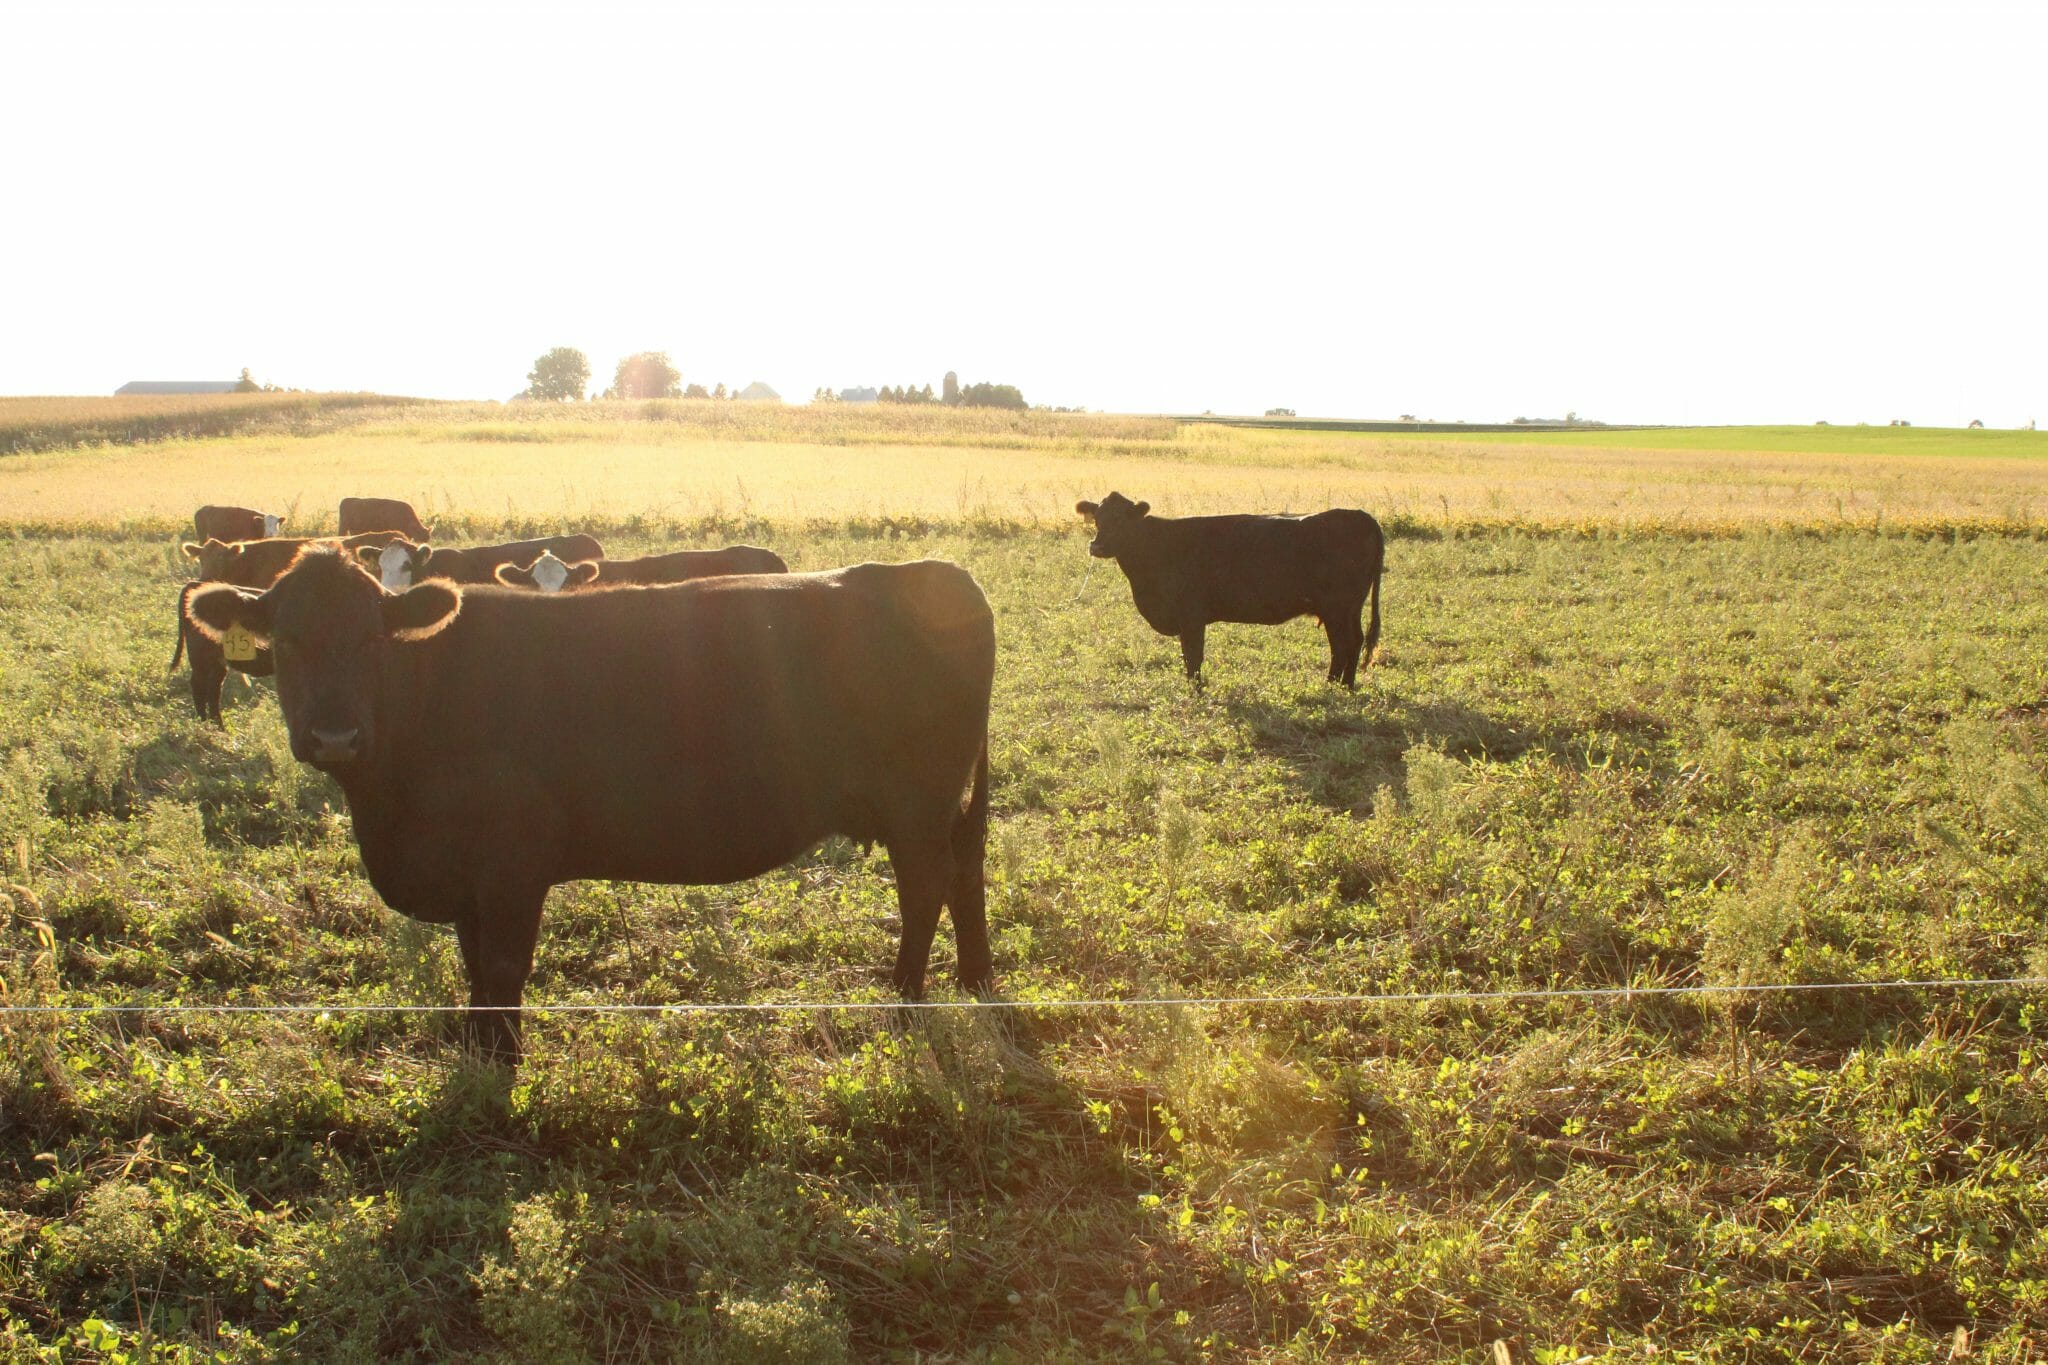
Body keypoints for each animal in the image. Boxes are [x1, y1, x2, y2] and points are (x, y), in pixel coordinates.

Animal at [182, 545, 996, 1062]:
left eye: (372, 640)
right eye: (287, 641)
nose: (335, 735)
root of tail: (938, 573)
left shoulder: (513, 863)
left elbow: (503, 965)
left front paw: (503, 1062)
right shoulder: (468, 873)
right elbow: (475, 967)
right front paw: (477, 1049)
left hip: (915, 806)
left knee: (925, 888)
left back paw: (903, 1001)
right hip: (940, 808)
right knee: (965, 874)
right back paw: (975, 981)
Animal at [1074, 491, 1384, 688]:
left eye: (1122, 519)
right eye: (1098, 517)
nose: (1097, 546)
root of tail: (1360, 515)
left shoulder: (1191, 616)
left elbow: (1193, 656)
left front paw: (1195, 690)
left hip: (1338, 607)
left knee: (1345, 643)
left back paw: (1335, 686)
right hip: (1346, 608)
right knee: (1351, 642)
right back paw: (1343, 685)